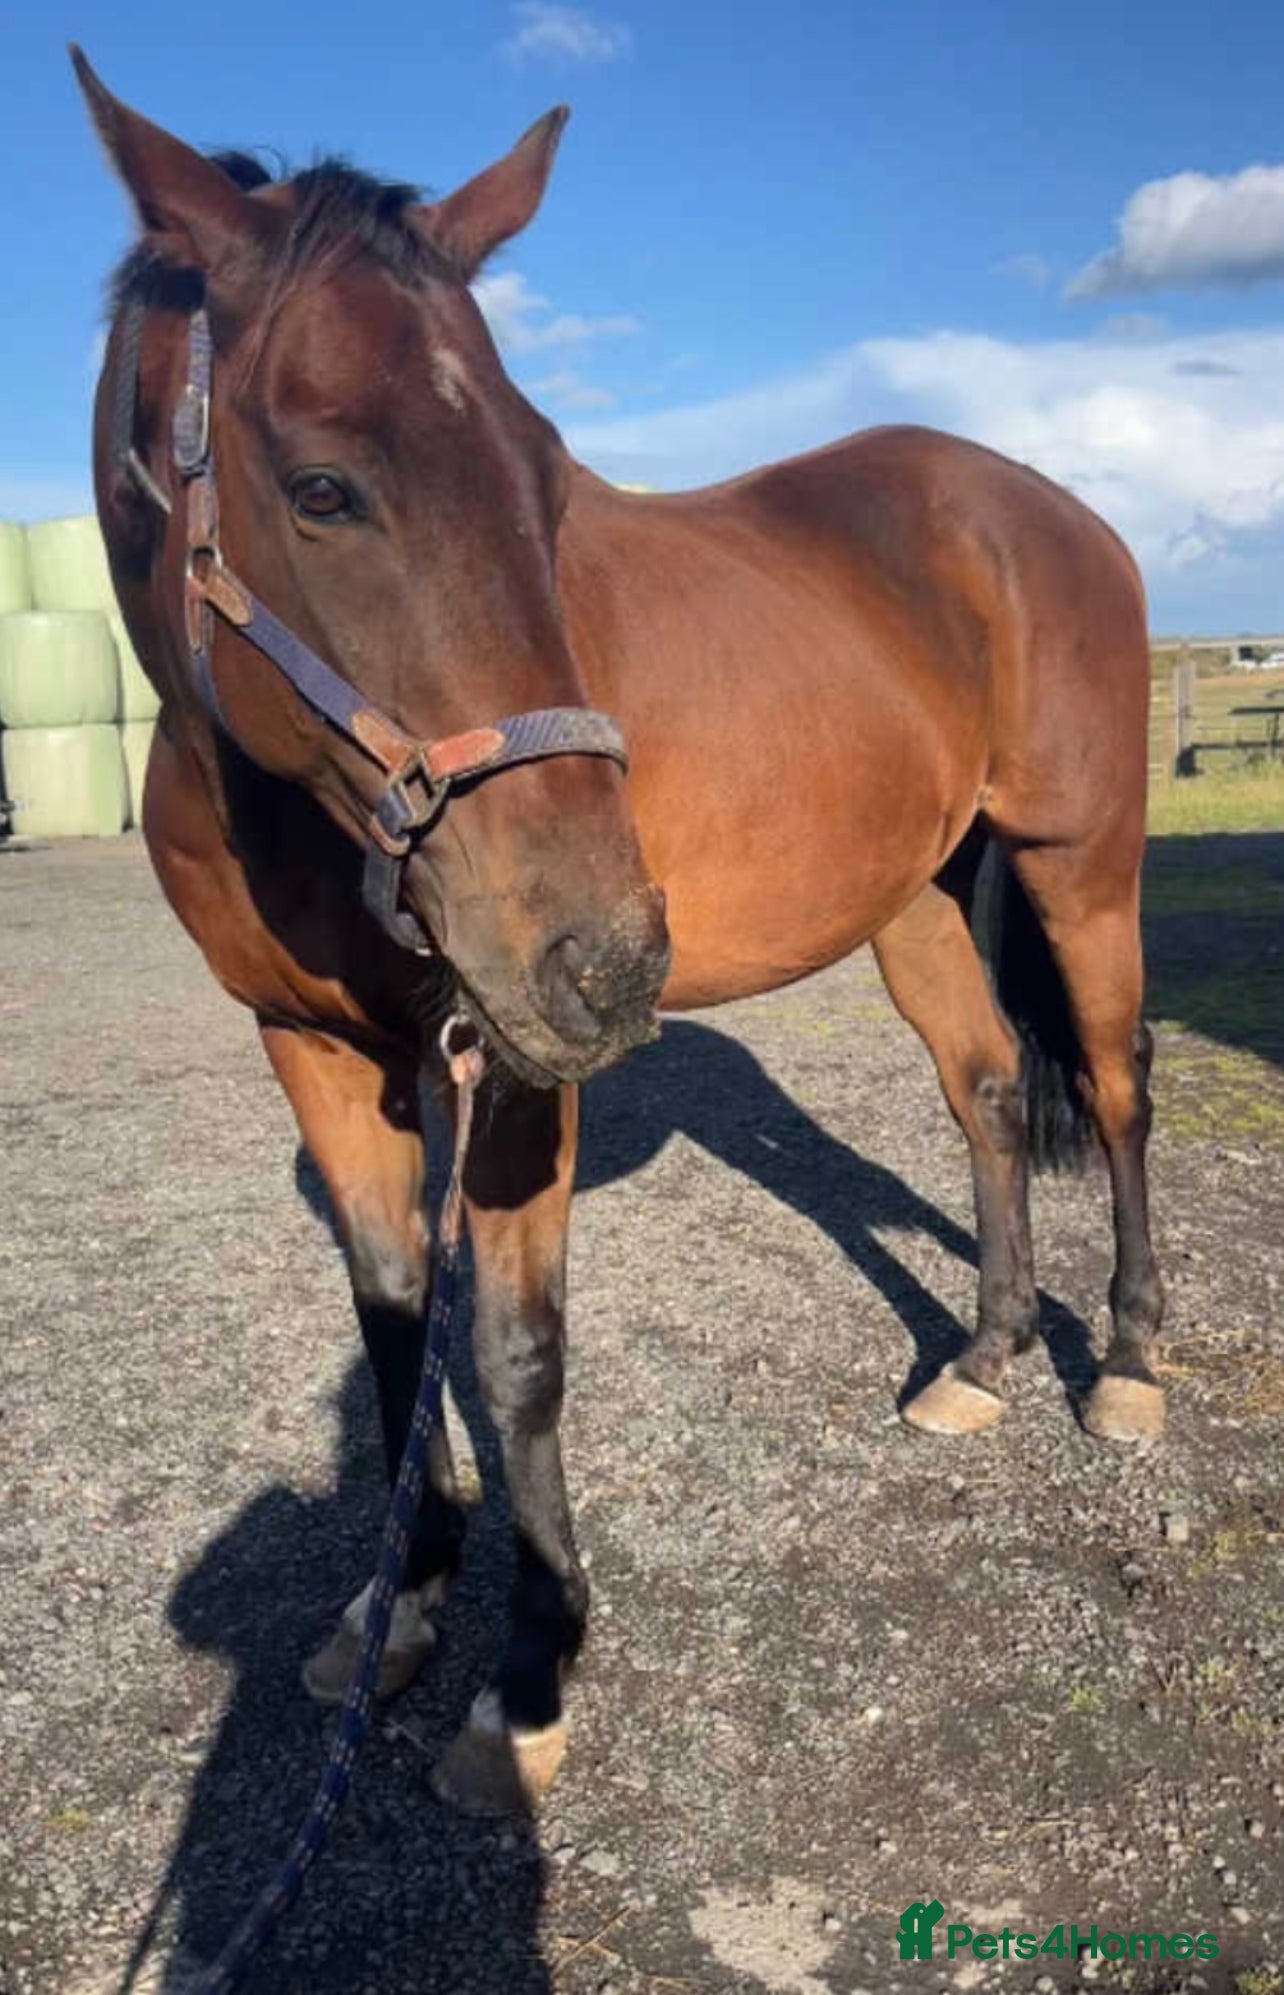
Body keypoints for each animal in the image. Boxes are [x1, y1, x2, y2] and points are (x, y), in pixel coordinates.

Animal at [77, 52, 1163, 1815]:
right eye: (322, 488)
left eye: (547, 477)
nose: (604, 956)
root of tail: (1047, 510)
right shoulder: (311, 1044)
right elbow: (397, 1324)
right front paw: (398, 1609)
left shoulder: (513, 1061)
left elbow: (517, 1354)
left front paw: (526, 1675)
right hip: (915, 898)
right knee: (994, 1091)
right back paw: (989, 1357)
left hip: (1085, 862)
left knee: (1119, 1087)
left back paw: (1127, 1360)